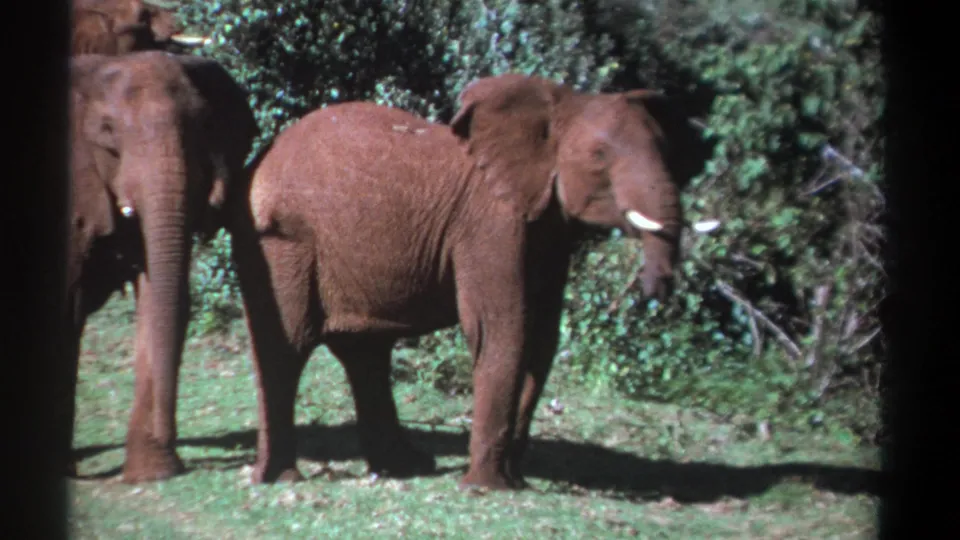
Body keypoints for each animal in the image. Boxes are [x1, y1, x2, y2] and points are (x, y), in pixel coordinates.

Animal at [226, 73, 719, 490]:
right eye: (600, 156)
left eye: (667, 152)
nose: (654, 293)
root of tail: (257, 163)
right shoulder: (490, 223)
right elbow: (501, 327)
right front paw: (488, 488)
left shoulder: (546, 228)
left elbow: (541, 338)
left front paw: (514, 480)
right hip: (282, 243)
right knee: (288, 344)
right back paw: (279, 478)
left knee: (365, 352)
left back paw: (406, 467)